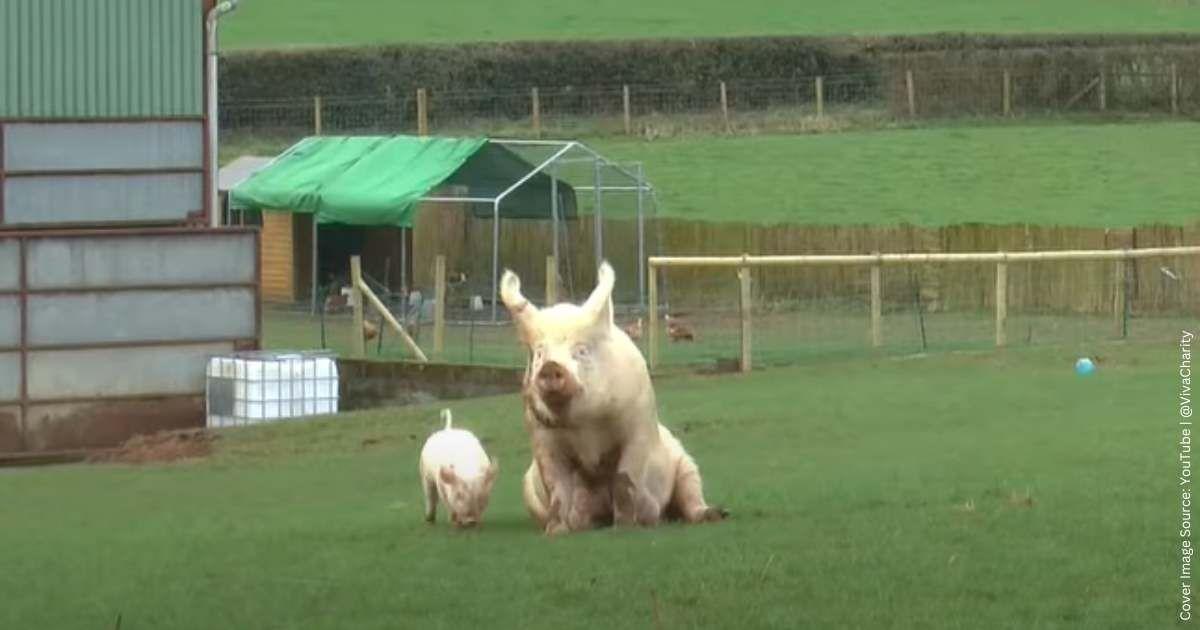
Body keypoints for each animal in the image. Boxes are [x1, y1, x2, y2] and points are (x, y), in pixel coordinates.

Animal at [501, 261, 726, 534]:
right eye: (540, 353)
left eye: (582, 351)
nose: (551, 367)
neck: (586, 427)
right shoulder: (543, 439)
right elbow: (557, 488)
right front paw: (557, 531)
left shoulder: (637, 426)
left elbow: (624, 478)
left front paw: (625, 526)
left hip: (686, 464)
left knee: (691, 500)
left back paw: (711, 515)